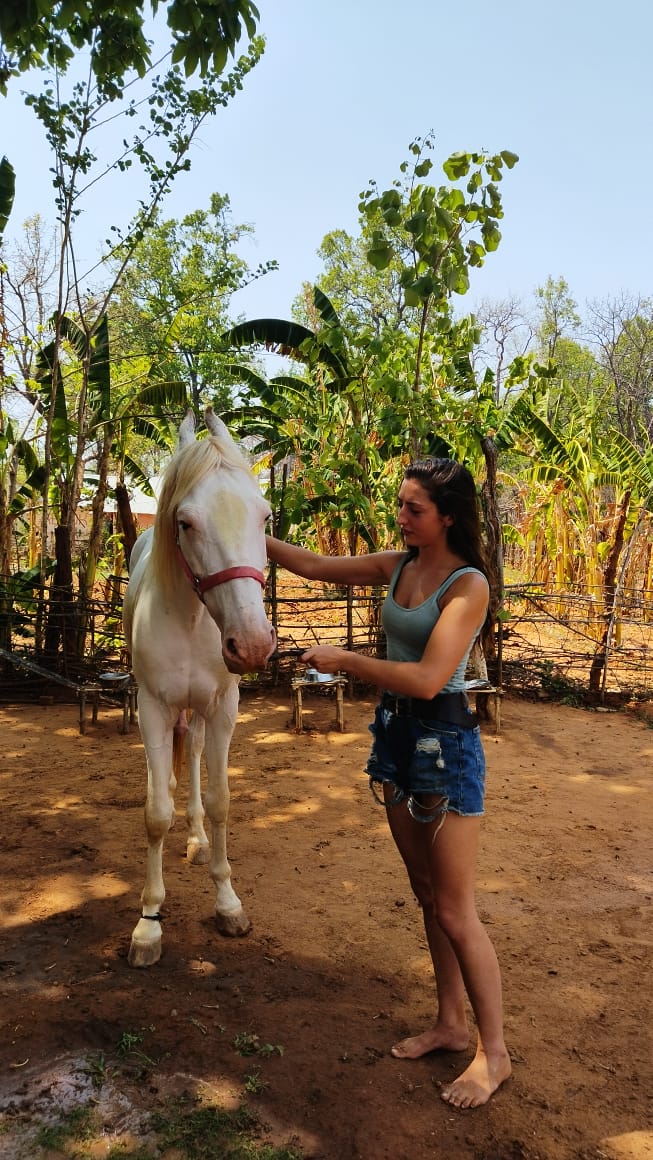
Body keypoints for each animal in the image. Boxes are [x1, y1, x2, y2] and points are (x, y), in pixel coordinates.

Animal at [122, 410, 276, 969]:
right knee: (166, 776)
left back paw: (197, 839)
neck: (191, 616)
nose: (250, 644)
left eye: (264, 517)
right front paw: (148, 924)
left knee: (190, 764)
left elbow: (220, 800)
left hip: (201, 713)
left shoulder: (224, 707)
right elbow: (154, 814)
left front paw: (228, 903)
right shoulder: (152, 707)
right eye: (185, 523)